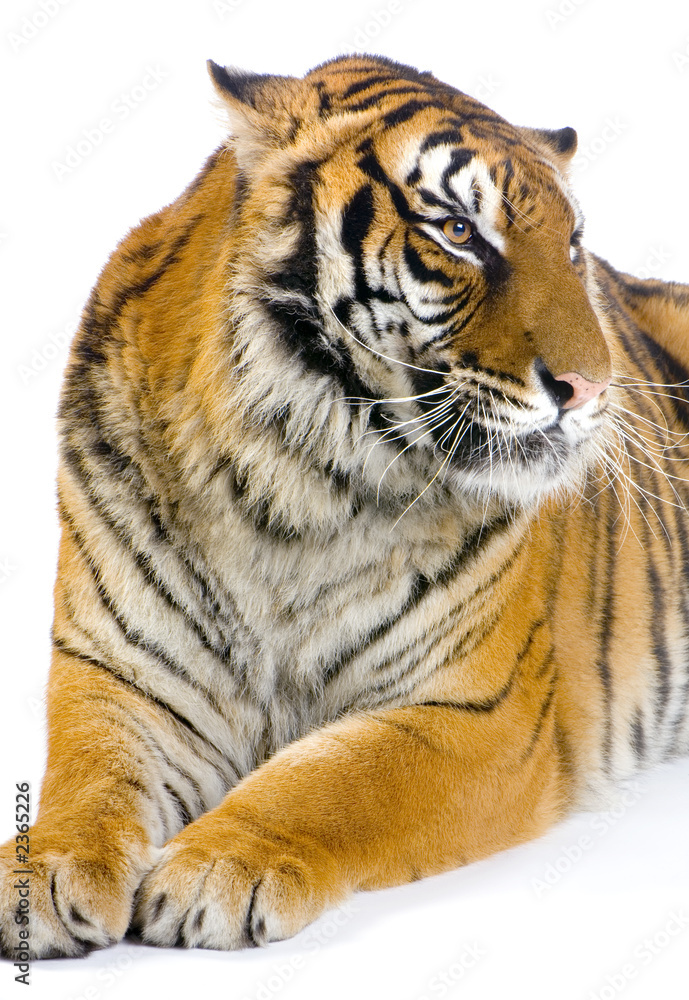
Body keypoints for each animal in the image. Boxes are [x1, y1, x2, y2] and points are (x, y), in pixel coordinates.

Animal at [2, 52, 689, 960]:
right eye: (458, 232)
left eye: (573, 247)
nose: (591, 388)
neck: (290, 490)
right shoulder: (120, 674)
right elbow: (88, 776)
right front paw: (40, 868)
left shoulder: (481, 708)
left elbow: (334, 781)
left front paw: (217, 869)